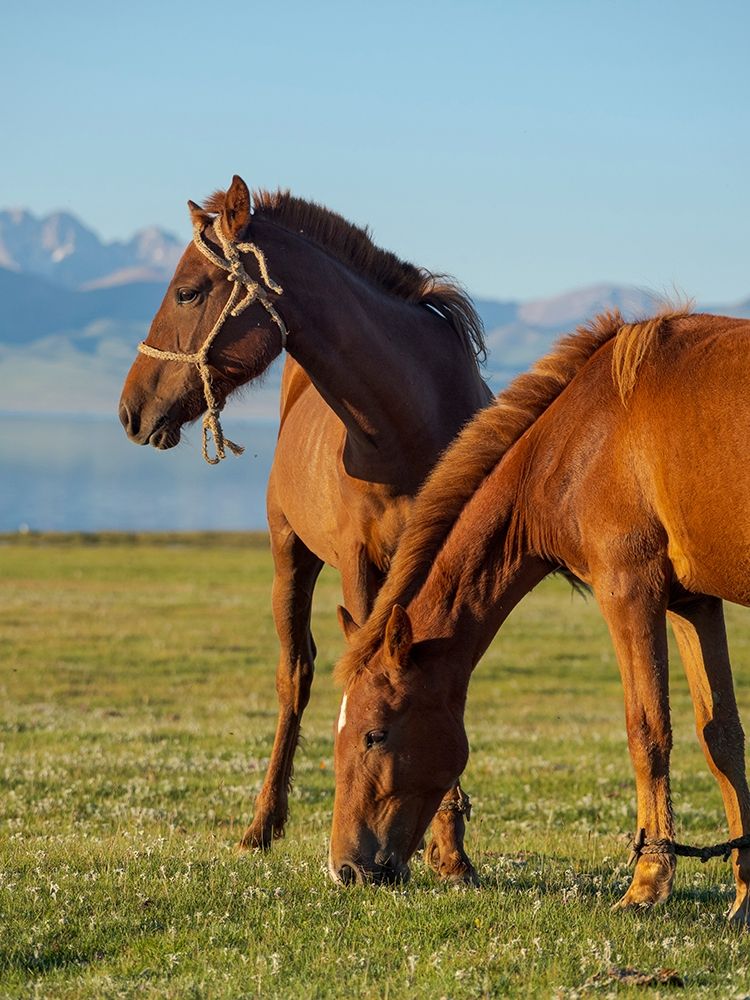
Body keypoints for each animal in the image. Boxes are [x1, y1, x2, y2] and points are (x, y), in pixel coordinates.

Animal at [119, 175, 491, 882]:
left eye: (188, 291)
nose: (130, 409)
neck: (409, 419)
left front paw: (450, 850)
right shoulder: (361, 566)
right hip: (289, 559)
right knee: (296, 677)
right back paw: (261, 825)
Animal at [330, 307, 750, 924]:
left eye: (374, 735)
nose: (346, 869)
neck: (585, 437)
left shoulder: (630, 590)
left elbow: (647, 730)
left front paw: (647, 884)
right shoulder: (691, 603)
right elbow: (722, 737)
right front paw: (744, 898)